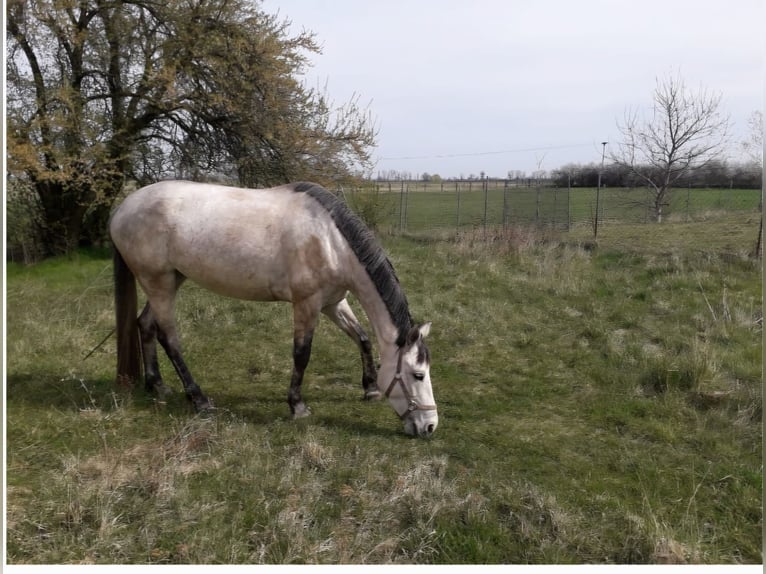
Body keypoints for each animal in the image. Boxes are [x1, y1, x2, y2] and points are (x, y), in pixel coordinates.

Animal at [111, 182, 440, 438]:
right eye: (418, 375)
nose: (430, 426)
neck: (331, 241)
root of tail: (122, 209)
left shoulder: (333, 303)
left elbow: (362, 338)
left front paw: (370, 388)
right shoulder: (307, 304)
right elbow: (302, 354)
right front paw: (297, 406)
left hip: (169, 281)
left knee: (145, 325)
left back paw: (156, 385)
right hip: (159, 284)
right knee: (170, 338)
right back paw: (199, 398)